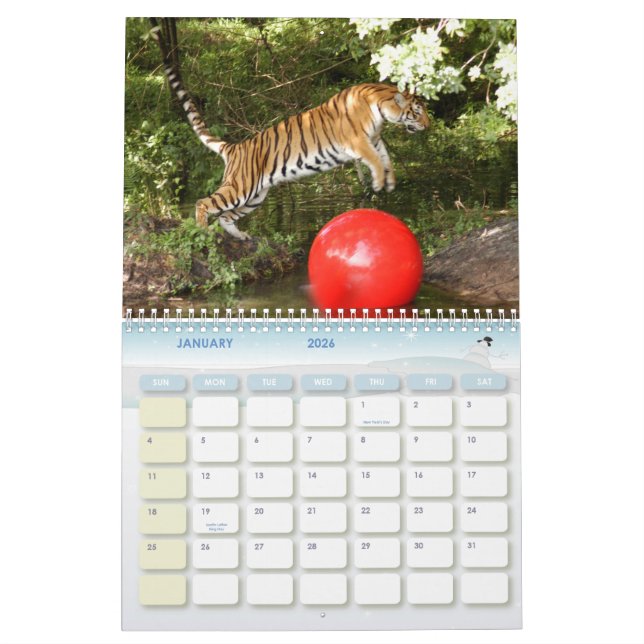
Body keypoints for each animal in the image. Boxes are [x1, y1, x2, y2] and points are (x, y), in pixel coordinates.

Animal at [149, 21, 430, 240]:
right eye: (417, 112)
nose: (427, 125)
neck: (381, 106)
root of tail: (234, 147)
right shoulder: (358, 140)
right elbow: (374, 159)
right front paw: (380, 181)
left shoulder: (375, 138)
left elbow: (385, 158)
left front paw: (390, 181)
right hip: (240, 188)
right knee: (204, 203)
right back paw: (202, 231)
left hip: (255, 196)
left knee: (226, 217)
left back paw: (241, 236)